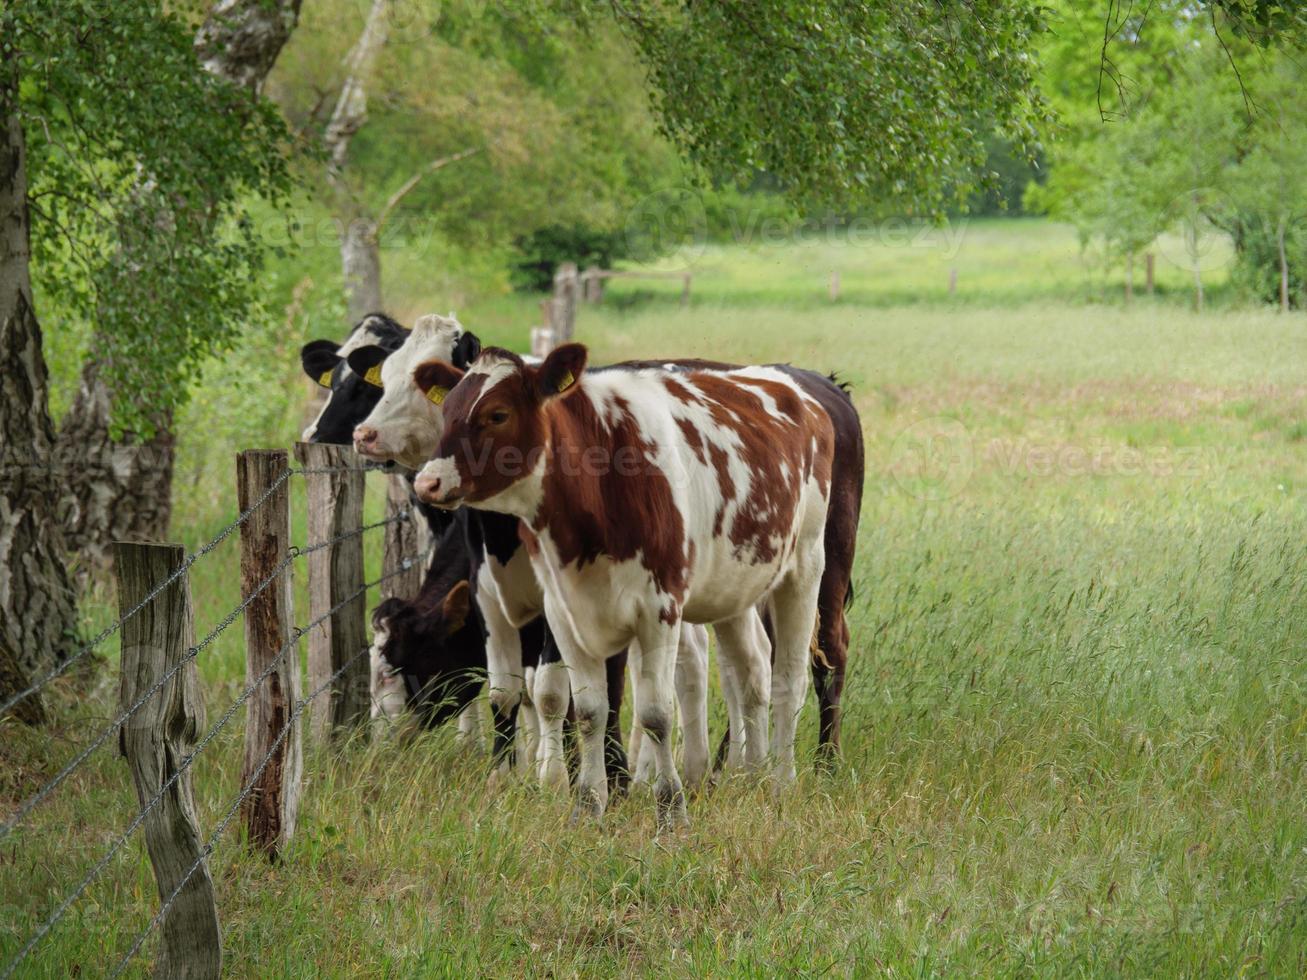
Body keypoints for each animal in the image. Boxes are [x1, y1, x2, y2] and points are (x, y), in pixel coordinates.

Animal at [413, 344, 831, 831]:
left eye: (497, 414)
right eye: (447, 410)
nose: (428, 481)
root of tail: (796, 390)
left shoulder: (659, 609)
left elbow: (656, 713)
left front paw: (671, 810)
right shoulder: (564, 612)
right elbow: (590, 711)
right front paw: (588, 805)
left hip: (805, 567)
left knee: (789, 678)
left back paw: (782, 783)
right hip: (733, 588)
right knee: (751, 673)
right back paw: (755, 775)